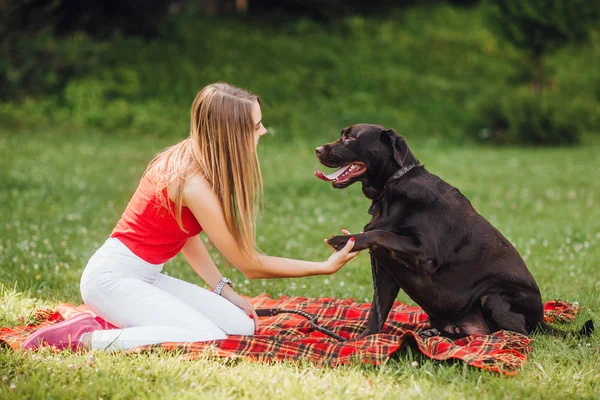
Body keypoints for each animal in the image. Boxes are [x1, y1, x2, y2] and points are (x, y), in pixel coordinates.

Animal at [316, 124, 592, 338]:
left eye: (349, 137)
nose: (317, 149)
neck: (392, 187)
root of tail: (542, 321)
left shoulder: (426, 254)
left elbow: (382, 234)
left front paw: (343, 239)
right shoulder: (385, 272)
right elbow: (376, 312)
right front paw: (362, 341)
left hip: (494, 297)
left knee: (512, 335)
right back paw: (435, 333)